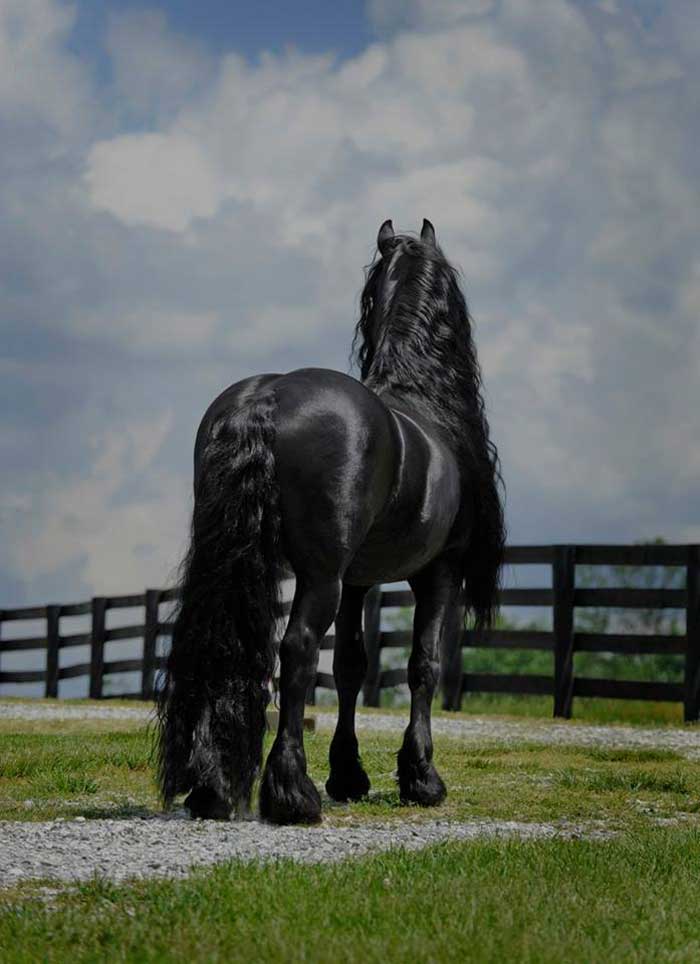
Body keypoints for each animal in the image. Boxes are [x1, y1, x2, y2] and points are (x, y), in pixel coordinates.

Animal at [157, 222, 504, 824]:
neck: (423, 400)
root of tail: (266, 397)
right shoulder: (439, 573)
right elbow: (423, 664)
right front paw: (421, 778)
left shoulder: (358, 581)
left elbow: (350, 666)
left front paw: (349, 774)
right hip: (320, 577)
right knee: (296, 649)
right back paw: (292, 793)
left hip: (243, 563)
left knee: (220, 644)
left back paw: (212, 788)